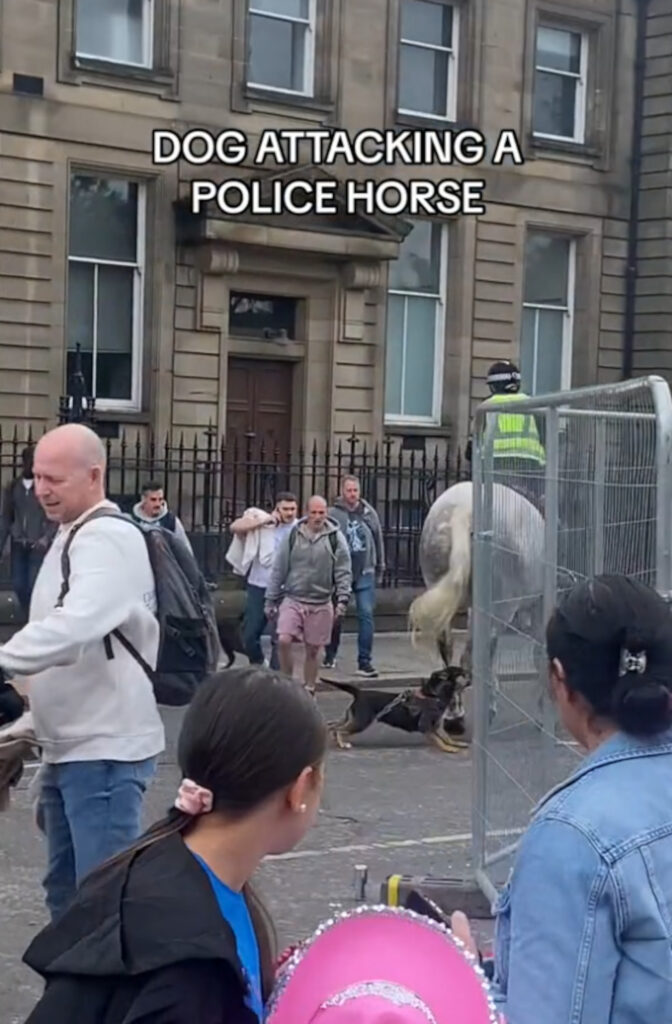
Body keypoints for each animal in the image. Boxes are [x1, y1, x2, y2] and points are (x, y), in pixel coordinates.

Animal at [323, 663, 469, 753]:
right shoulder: (425, 726)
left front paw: (456, 744)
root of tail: (359, 692)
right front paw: (449, 748)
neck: (434, 695)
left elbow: (447, 737)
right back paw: (342, 743)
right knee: (338, 729)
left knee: (332, 726)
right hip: (360, 722)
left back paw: (335, 740)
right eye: (461, 672)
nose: (470, 673)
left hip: (352, 718)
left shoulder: (437, 725)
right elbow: (440, 740)